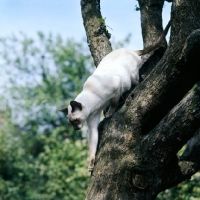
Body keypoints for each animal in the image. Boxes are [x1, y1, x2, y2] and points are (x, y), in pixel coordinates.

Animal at [59, 20, 170, 172]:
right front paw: (91, 164)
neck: (94, 107)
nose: (76, 129)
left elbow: (113, 103)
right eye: (71, 122)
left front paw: (110, 113)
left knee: (137, 82)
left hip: (132, 76)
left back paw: (129, 92)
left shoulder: (115, 88)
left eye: (75, 121)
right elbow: (93, 144)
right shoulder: (92, 124)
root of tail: (131, 51)